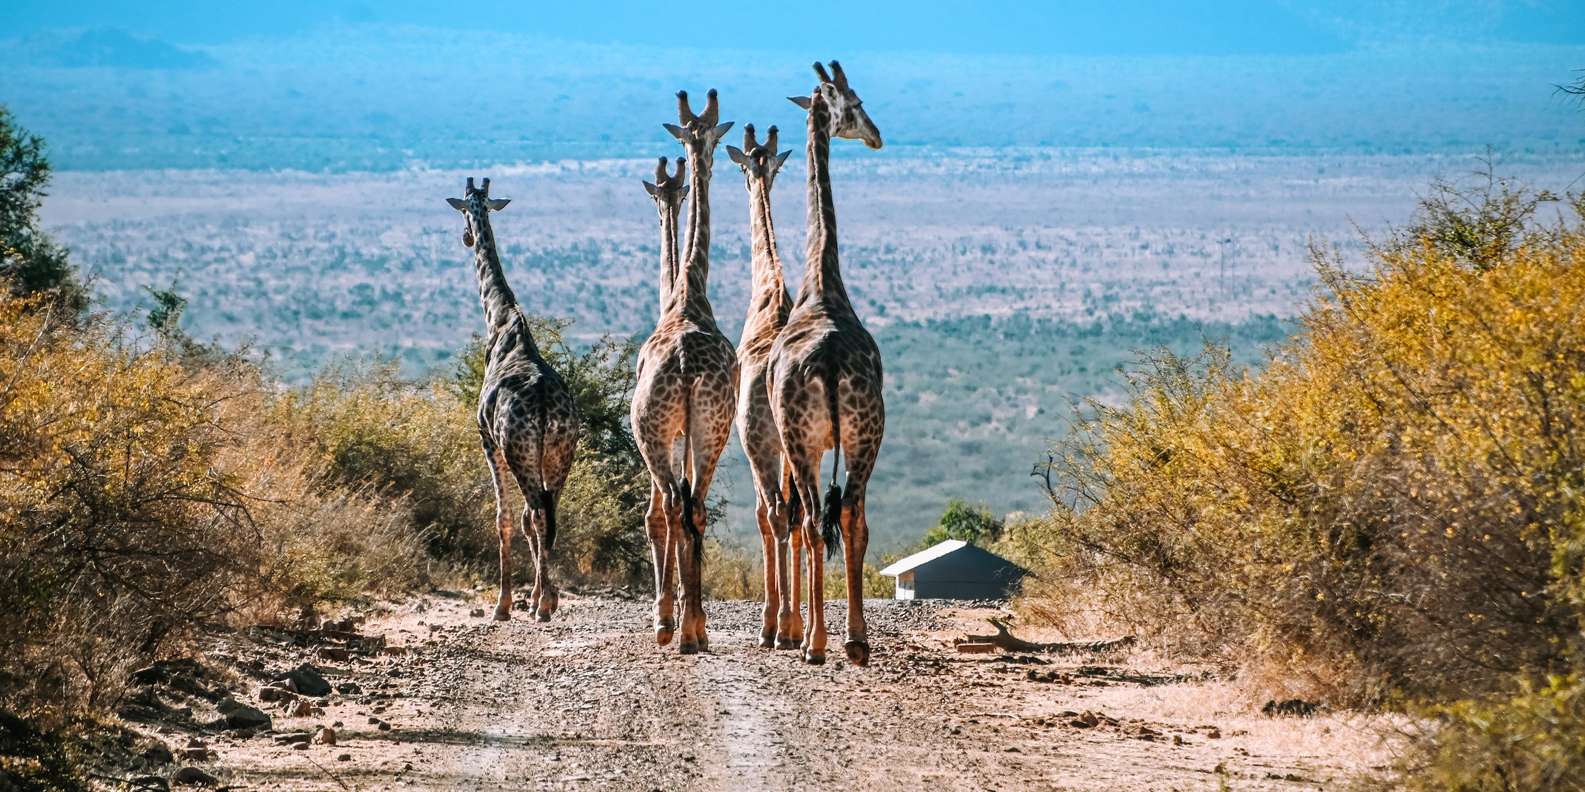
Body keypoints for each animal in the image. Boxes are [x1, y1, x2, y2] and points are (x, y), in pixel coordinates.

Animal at [446, 176, 583, 620]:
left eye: (463, 210)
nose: (466, 236)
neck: (502, 321)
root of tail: (544, 406)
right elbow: (524, 518)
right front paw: (542, 594)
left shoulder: (487, 441)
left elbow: (503, 518)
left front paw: (504, 604)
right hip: (560, 452)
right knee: (549, 513)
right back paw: (545, 599)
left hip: (518, 450)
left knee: (536, 511)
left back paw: (535, 606)